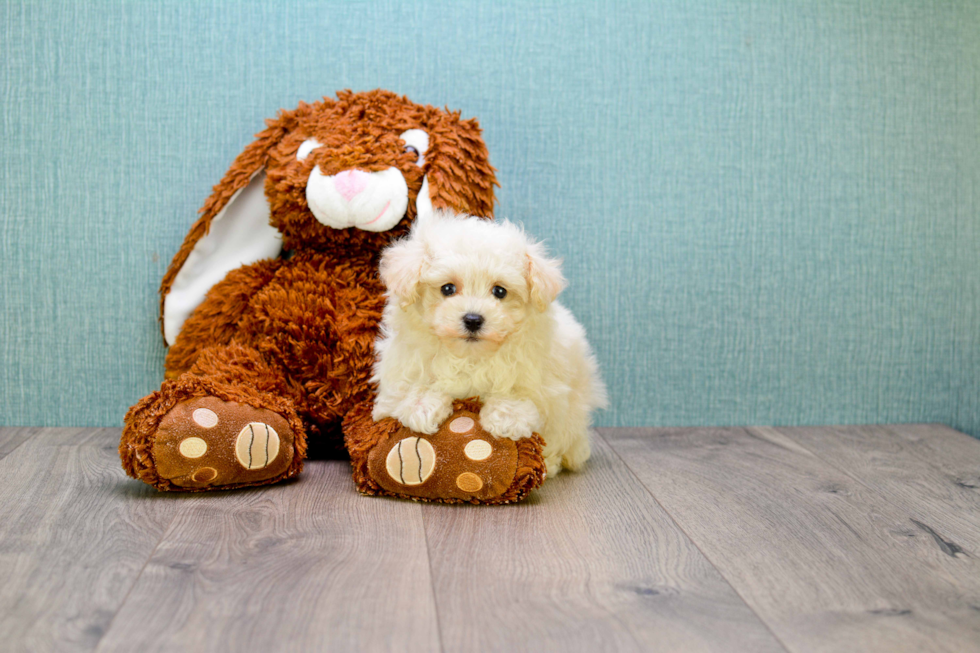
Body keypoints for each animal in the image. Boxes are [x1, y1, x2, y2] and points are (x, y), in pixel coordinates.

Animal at [374, 211, 604, 476]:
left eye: (500, 291)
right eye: (447, 288)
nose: (473, 319)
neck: (469, 355)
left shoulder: (543, 380)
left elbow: (519, 391)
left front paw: (507, 417)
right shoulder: (402, 366)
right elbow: (411, 385)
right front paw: (421, 407)